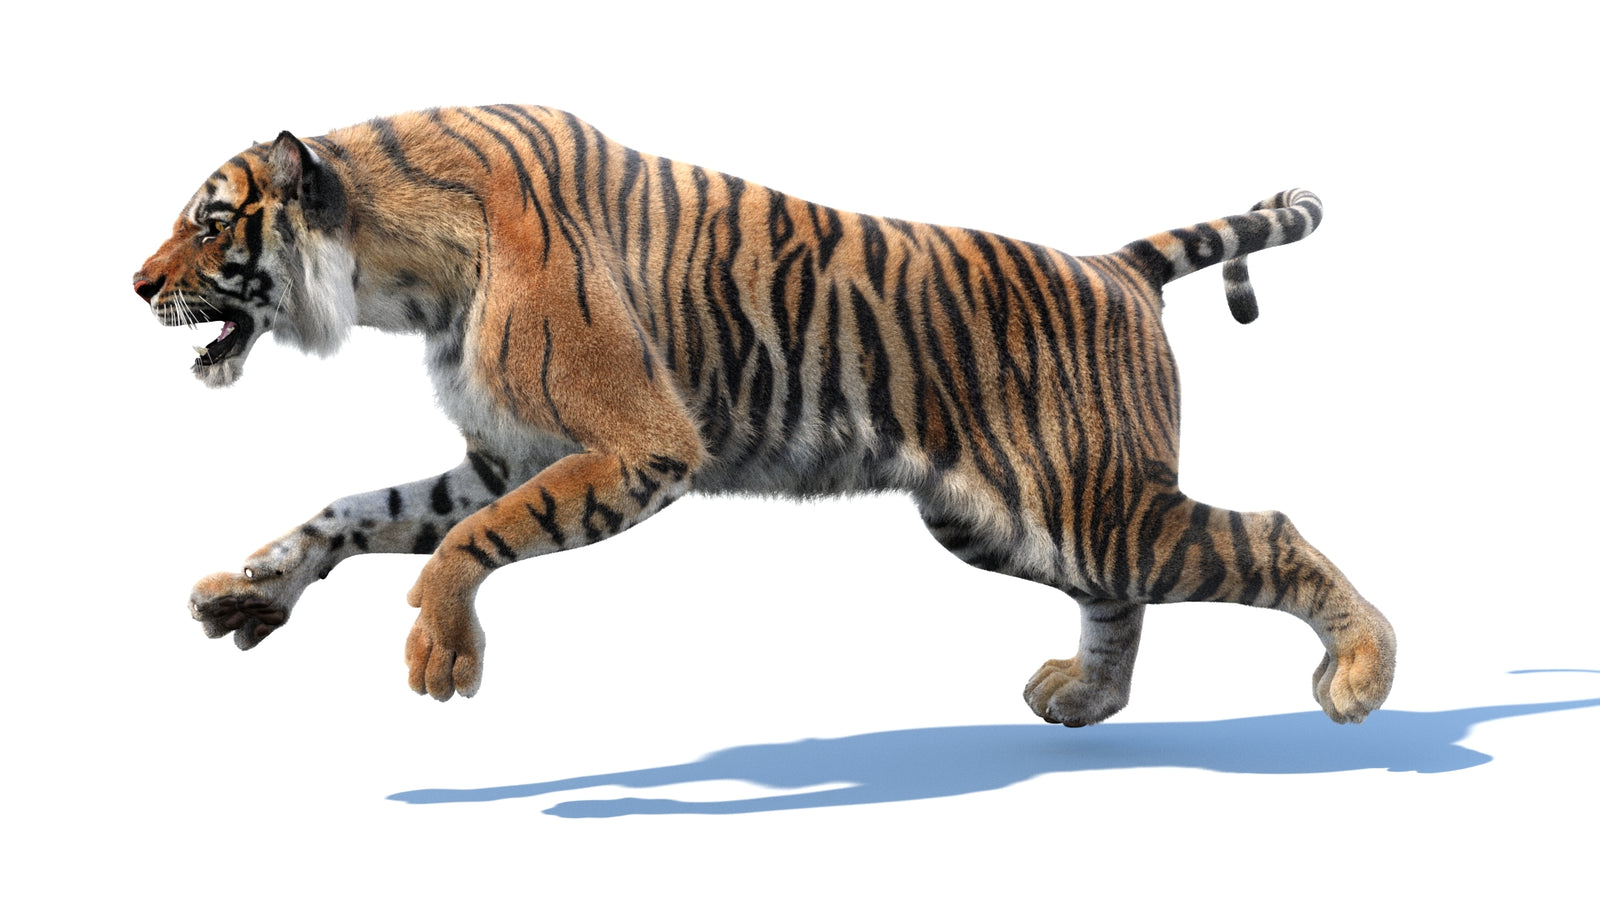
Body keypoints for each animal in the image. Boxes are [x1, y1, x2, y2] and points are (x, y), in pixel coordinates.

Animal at [133, 104, 1394, 727]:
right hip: (1010, 518)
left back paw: (1360, 679)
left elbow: (462, 541)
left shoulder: (640, 447)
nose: (135, 286)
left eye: (211, 224)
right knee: (1120, 596)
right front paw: (253, 591)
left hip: (1090, 500)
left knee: (1264, 534)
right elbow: (362, 509)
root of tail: (1115, 263)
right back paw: (1085, 700)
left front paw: (442, 651)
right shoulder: (504, 455)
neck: (399, 272)